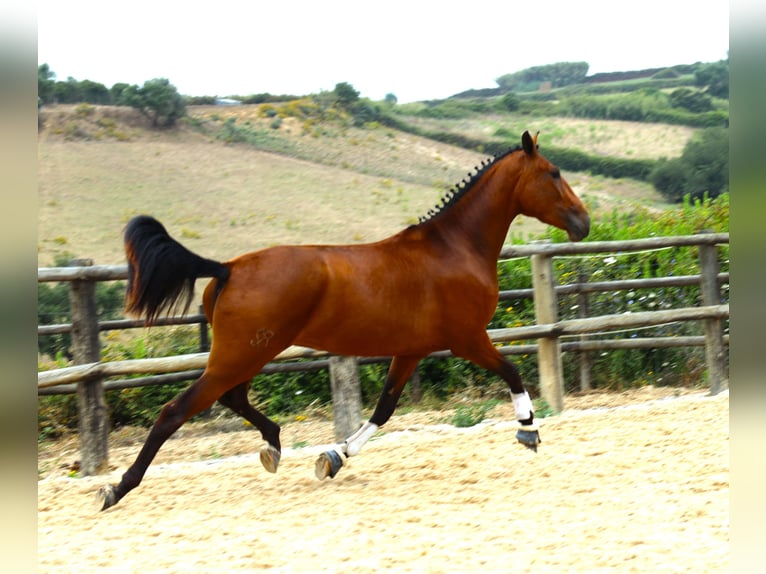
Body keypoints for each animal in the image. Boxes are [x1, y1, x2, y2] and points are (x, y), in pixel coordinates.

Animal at [99, 132, 592, 512]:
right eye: (553, 173)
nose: (584, 222)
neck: (455, 247)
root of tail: (228, 268)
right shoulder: (467, 338)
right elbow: (512, 371)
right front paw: (529, 431)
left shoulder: (411, 349)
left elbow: (384, 409)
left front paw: (333, 457)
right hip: (243, 353)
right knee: (176, 411)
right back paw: (117, 489)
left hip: (249, 353)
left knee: (232, 398)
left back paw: (273, 446)